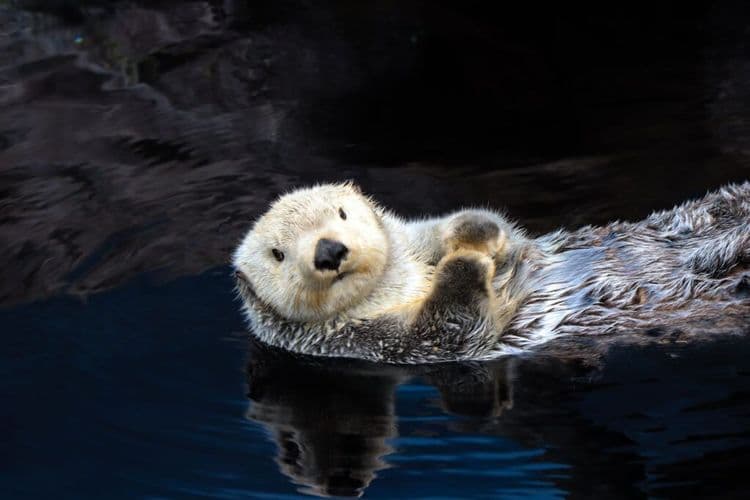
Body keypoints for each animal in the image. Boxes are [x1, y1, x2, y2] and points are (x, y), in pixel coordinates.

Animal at [233, 181, 750, 363]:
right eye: (278, 254)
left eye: (341, 213)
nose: (329, 250)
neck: (396, 284)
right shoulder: (368, 343)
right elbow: (451, 329)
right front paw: (465, 264)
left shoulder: (415, 239)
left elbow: (488, 230)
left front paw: (473, 235)